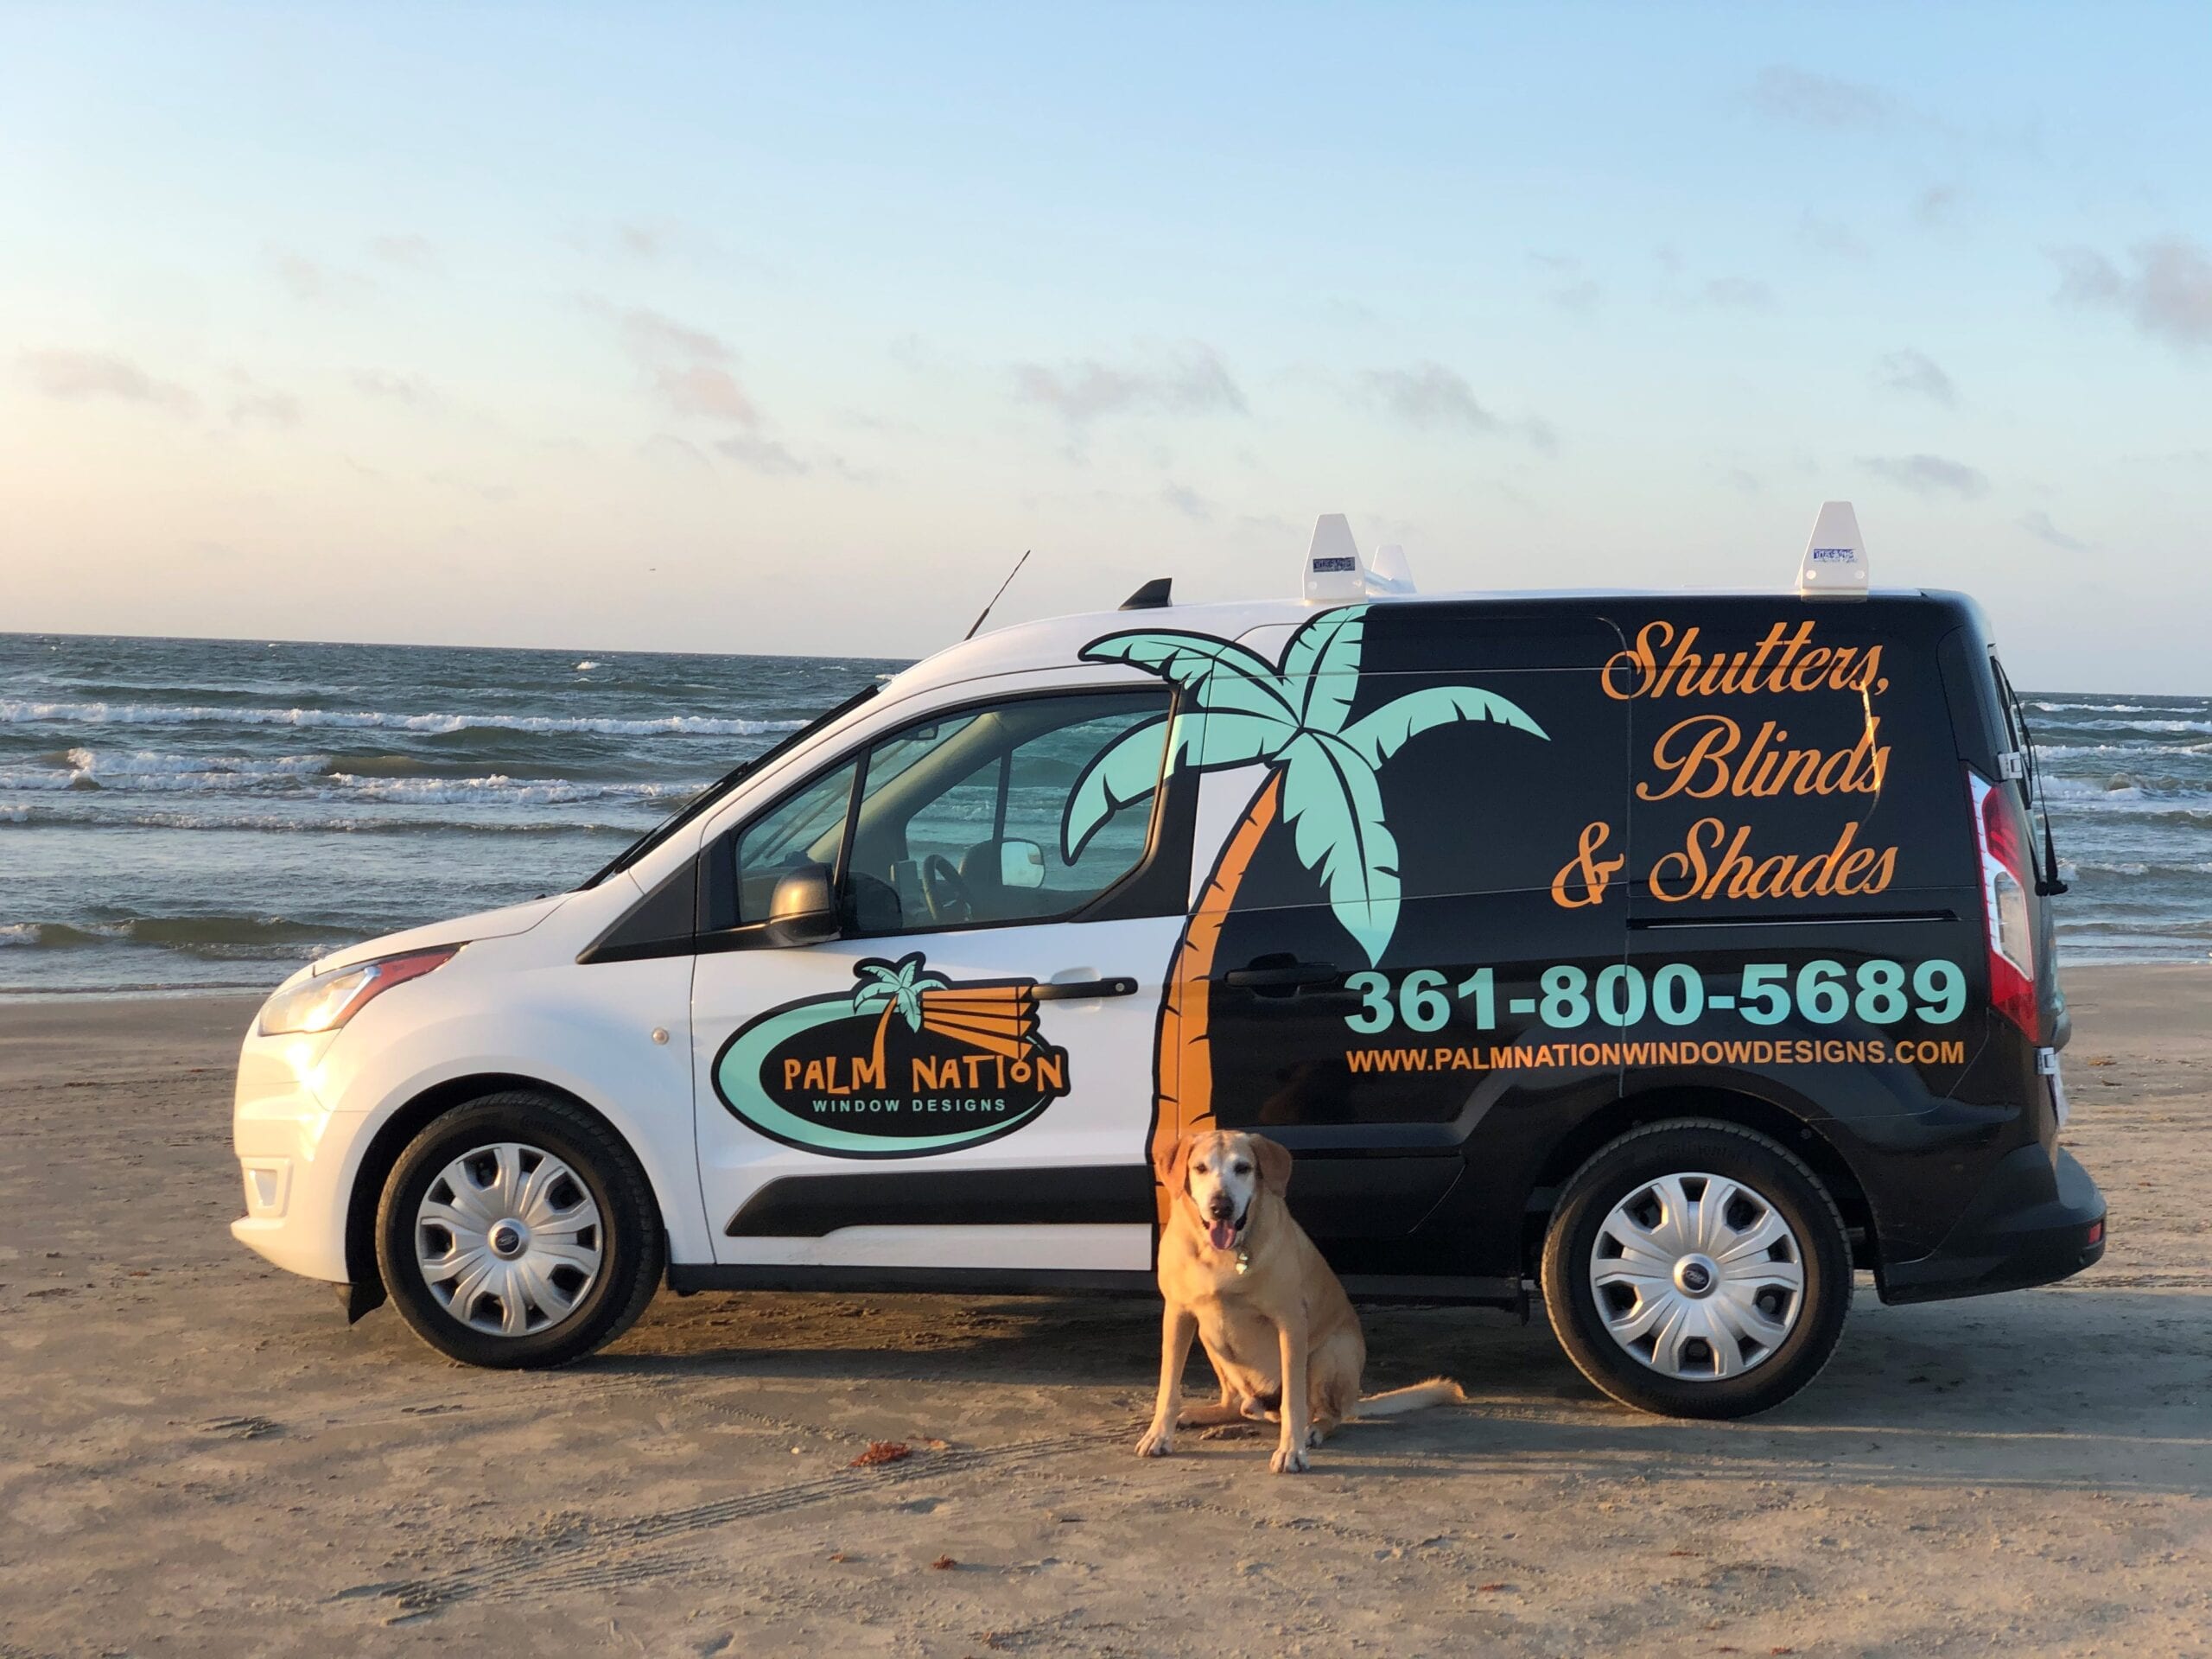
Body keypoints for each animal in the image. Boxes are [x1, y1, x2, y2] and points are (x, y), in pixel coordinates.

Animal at [1141, 1132, 1468, 1478]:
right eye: (1200, 1168)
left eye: (1243, 1168)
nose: (1221, 1208)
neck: (1221, 1254)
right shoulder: (1177, 1315)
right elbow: (1168, 1386)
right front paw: (1158, 1435)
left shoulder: (1291, 1323)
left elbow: (1294, 1402)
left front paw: (1291, 1451)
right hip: (1209, 1338)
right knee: (1236, 1405)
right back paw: (1210, 1417)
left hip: (1330, 1352)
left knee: (1327, 1414)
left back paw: (1312, 1429)